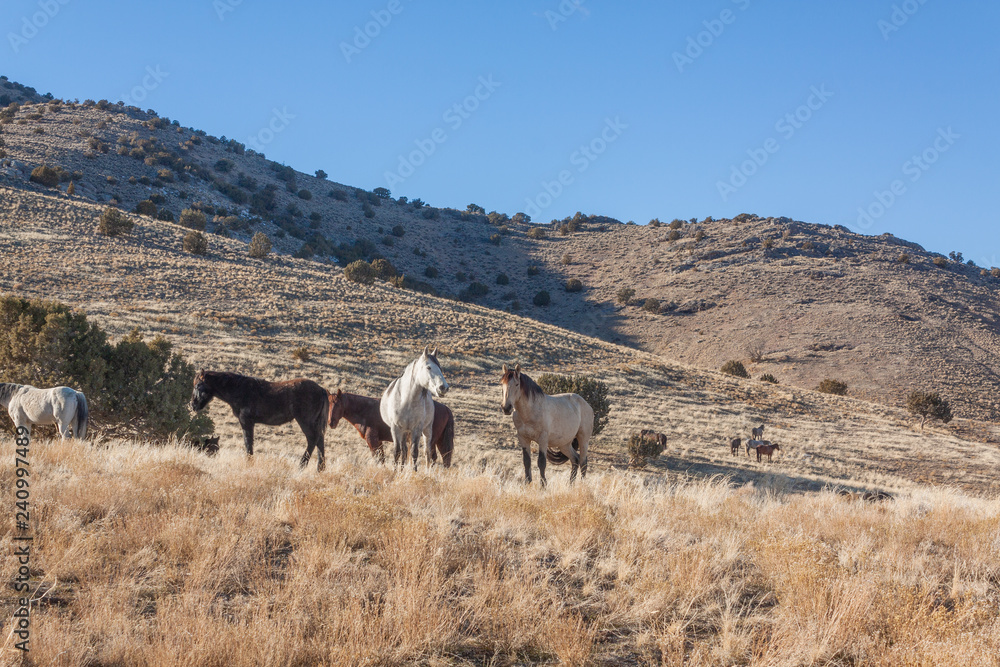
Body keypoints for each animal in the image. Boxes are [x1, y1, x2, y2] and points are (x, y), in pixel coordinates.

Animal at [190, 370, 329, 471]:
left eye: (198, 385)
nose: (193, 405)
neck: (239, 389)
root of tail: (321, 389)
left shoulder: (246, 422)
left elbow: (248, 443)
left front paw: (249, 463)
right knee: (319, 440)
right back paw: (320, 469)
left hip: (305, 422)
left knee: (312, 439)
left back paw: (302, 466)